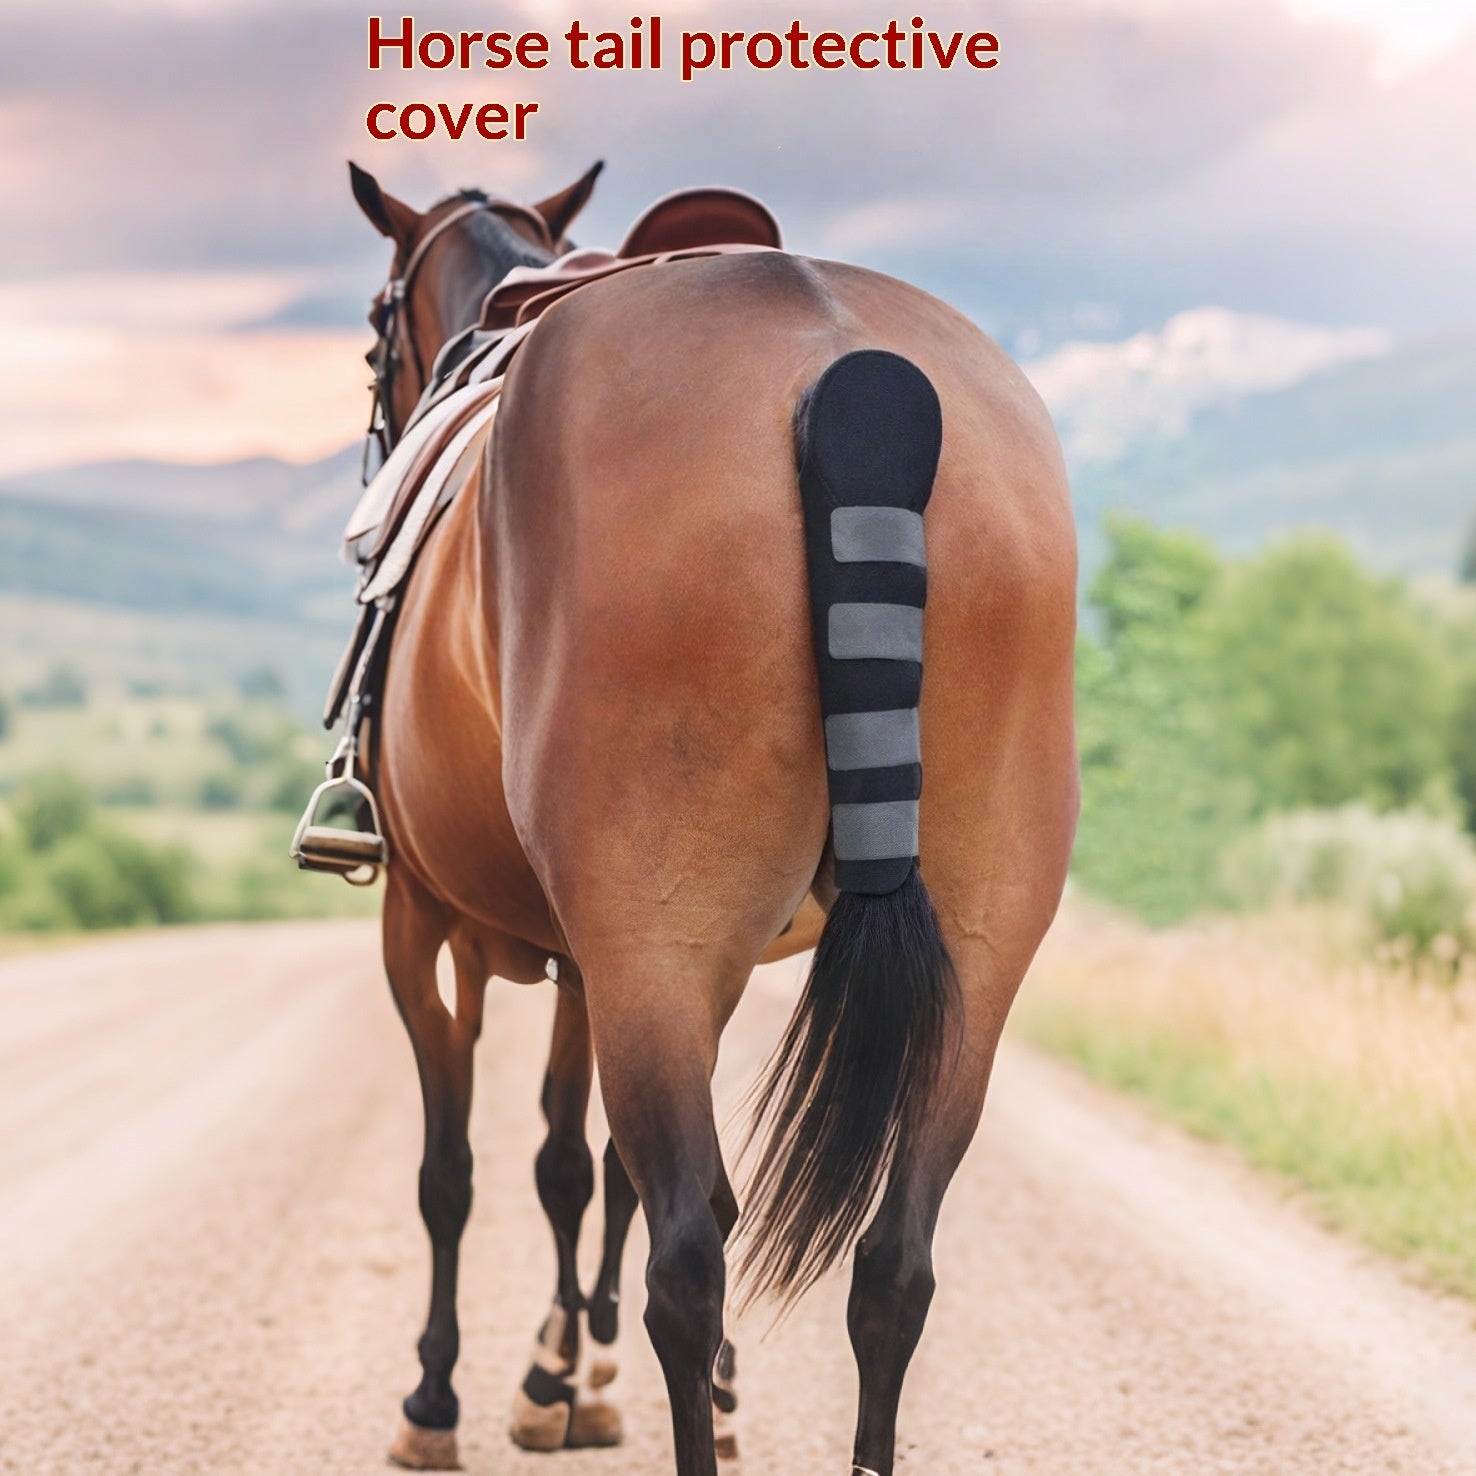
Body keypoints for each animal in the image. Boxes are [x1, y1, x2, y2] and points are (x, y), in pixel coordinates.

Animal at [345, 159, 1078, 1476]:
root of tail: (852, 369)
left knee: (689, 1253)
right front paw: (566, 1369)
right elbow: (572, 1162)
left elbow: (463, 1172)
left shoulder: (433, 928)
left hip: (651, 938)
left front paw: (448, 1394)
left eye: (378, 331)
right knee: (894, 1264)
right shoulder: (611, 959)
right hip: (973, 948)